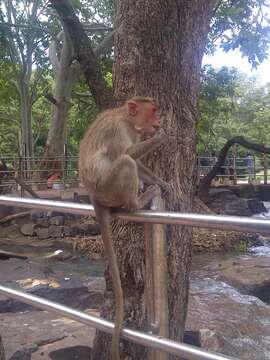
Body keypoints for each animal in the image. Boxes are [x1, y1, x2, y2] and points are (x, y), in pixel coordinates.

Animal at [79, 96, 170, 360]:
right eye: (153, 111)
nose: (158, 121)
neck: (128, 120)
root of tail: (94, 196)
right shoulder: (117, 129)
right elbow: (128, 155)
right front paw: (160, 137)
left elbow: (139, 161)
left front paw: (161, 181)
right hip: (108, 187)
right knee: (126, 162)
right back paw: (136, 202)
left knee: (131, 163)